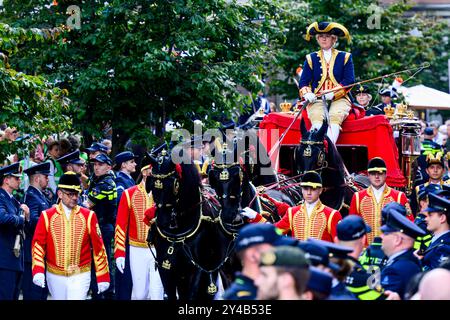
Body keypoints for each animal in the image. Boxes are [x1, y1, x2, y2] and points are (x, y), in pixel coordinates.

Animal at [146, 148, 236, 300]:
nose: (162, 221)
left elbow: (192, 295)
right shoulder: (166, 268)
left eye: (174, 183)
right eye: (152, 183)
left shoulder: (197, 268)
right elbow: (169, 295)